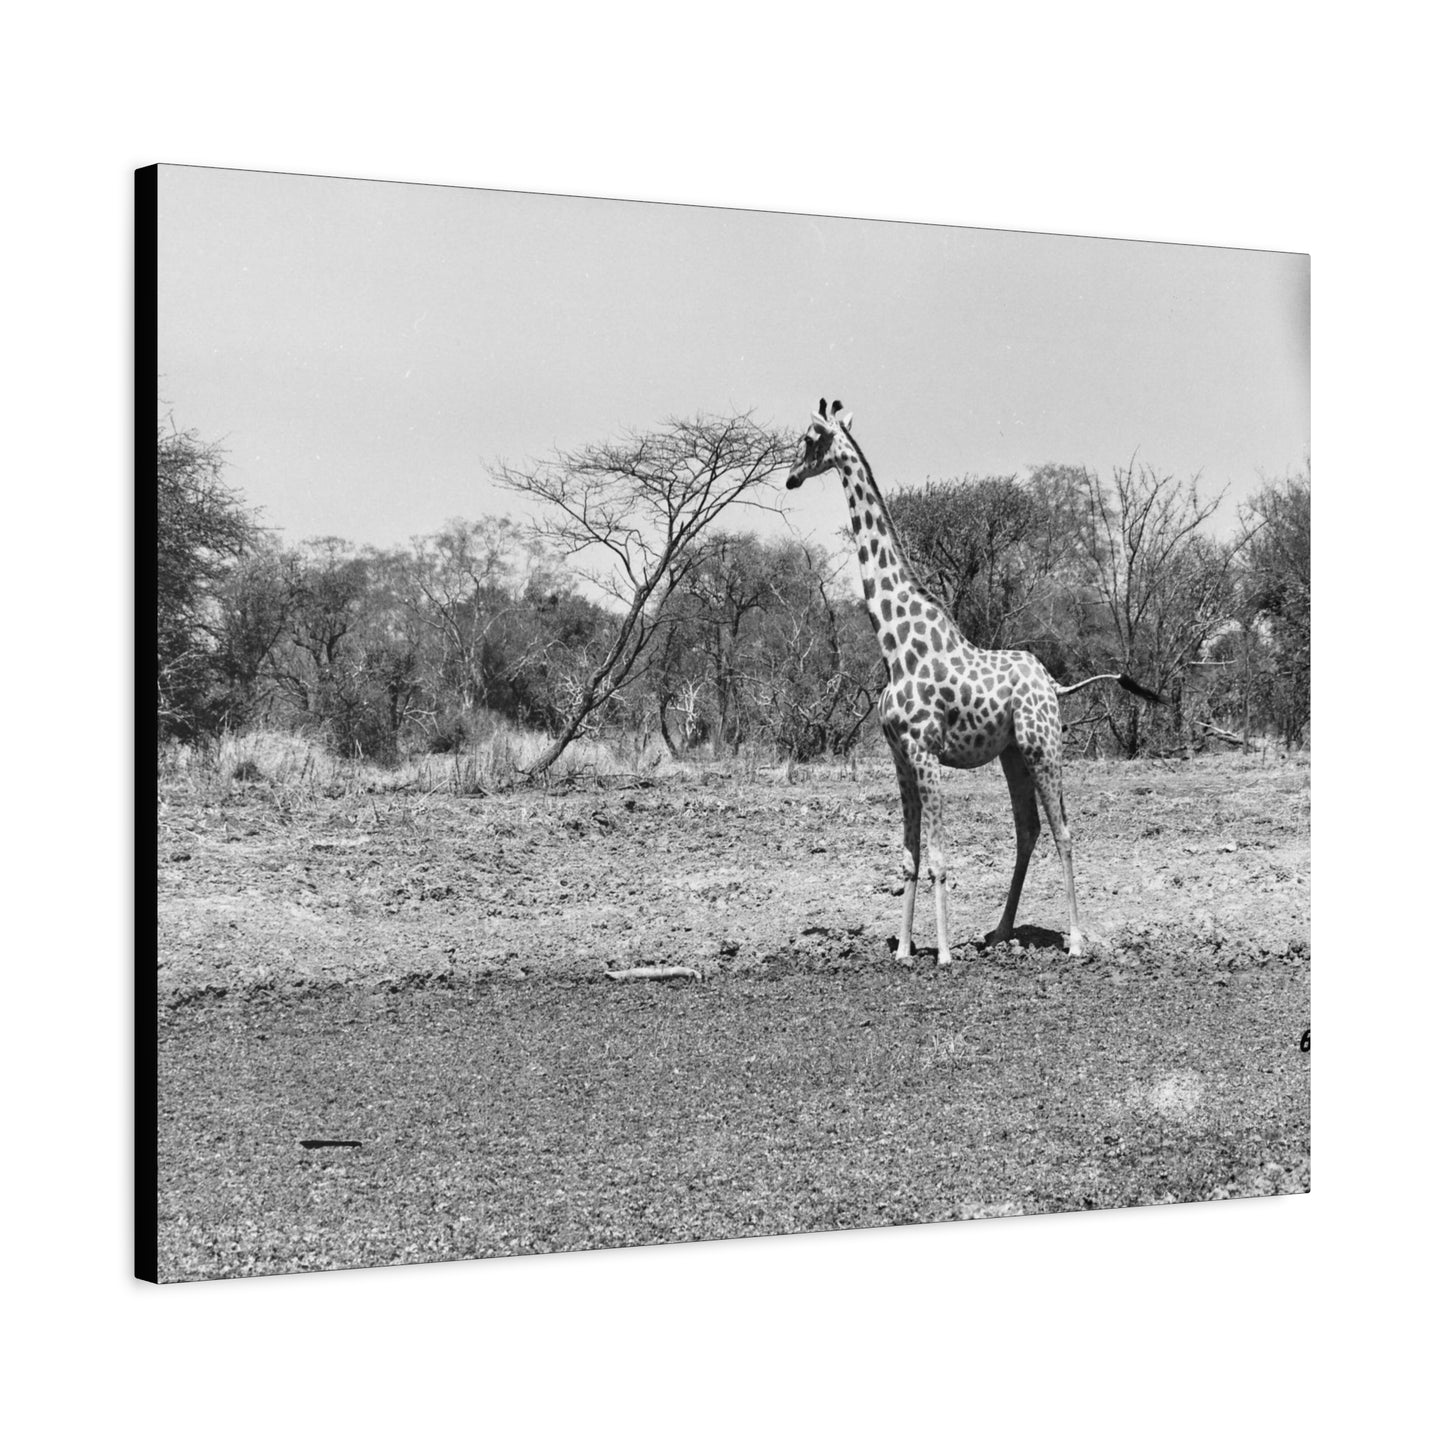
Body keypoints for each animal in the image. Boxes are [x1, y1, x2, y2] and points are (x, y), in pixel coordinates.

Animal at [785, 400, 1160, 962]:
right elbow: (909, 856)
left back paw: (1074, 941)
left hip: (1043, 746)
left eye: (811, 438)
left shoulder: (925, 753)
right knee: (1028, 829)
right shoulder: (900, 759)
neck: (895, 646)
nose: (790, 477)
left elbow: (940, 857)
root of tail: (1054, 686)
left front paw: (941, 955)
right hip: (1012, 753)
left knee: (1064, 830)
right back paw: (1000, 931)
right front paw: (903, 950)